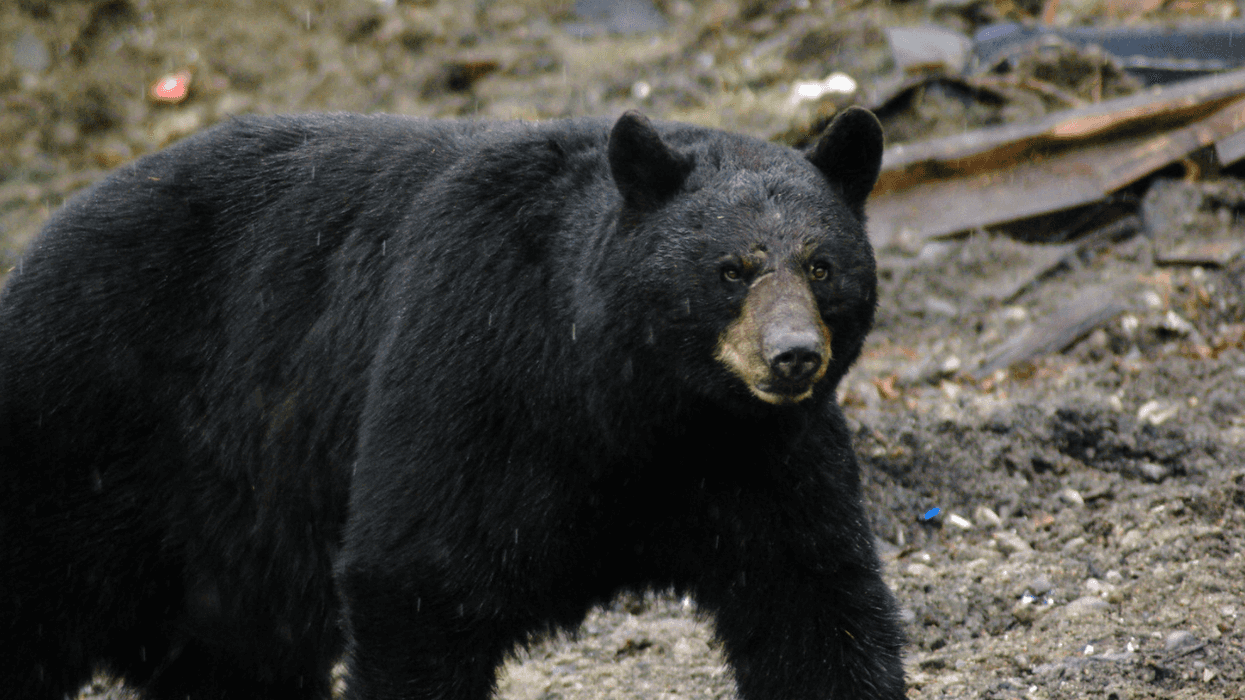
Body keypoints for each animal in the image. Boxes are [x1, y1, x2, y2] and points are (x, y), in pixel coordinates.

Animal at [0, 107, 904, 700]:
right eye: (729, 270)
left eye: (821, 265)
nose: (793, 356)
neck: (637, 405)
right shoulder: (470, 375)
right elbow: (417, 580)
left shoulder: (762, 456)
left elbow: (813, 600)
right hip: (82, 441)